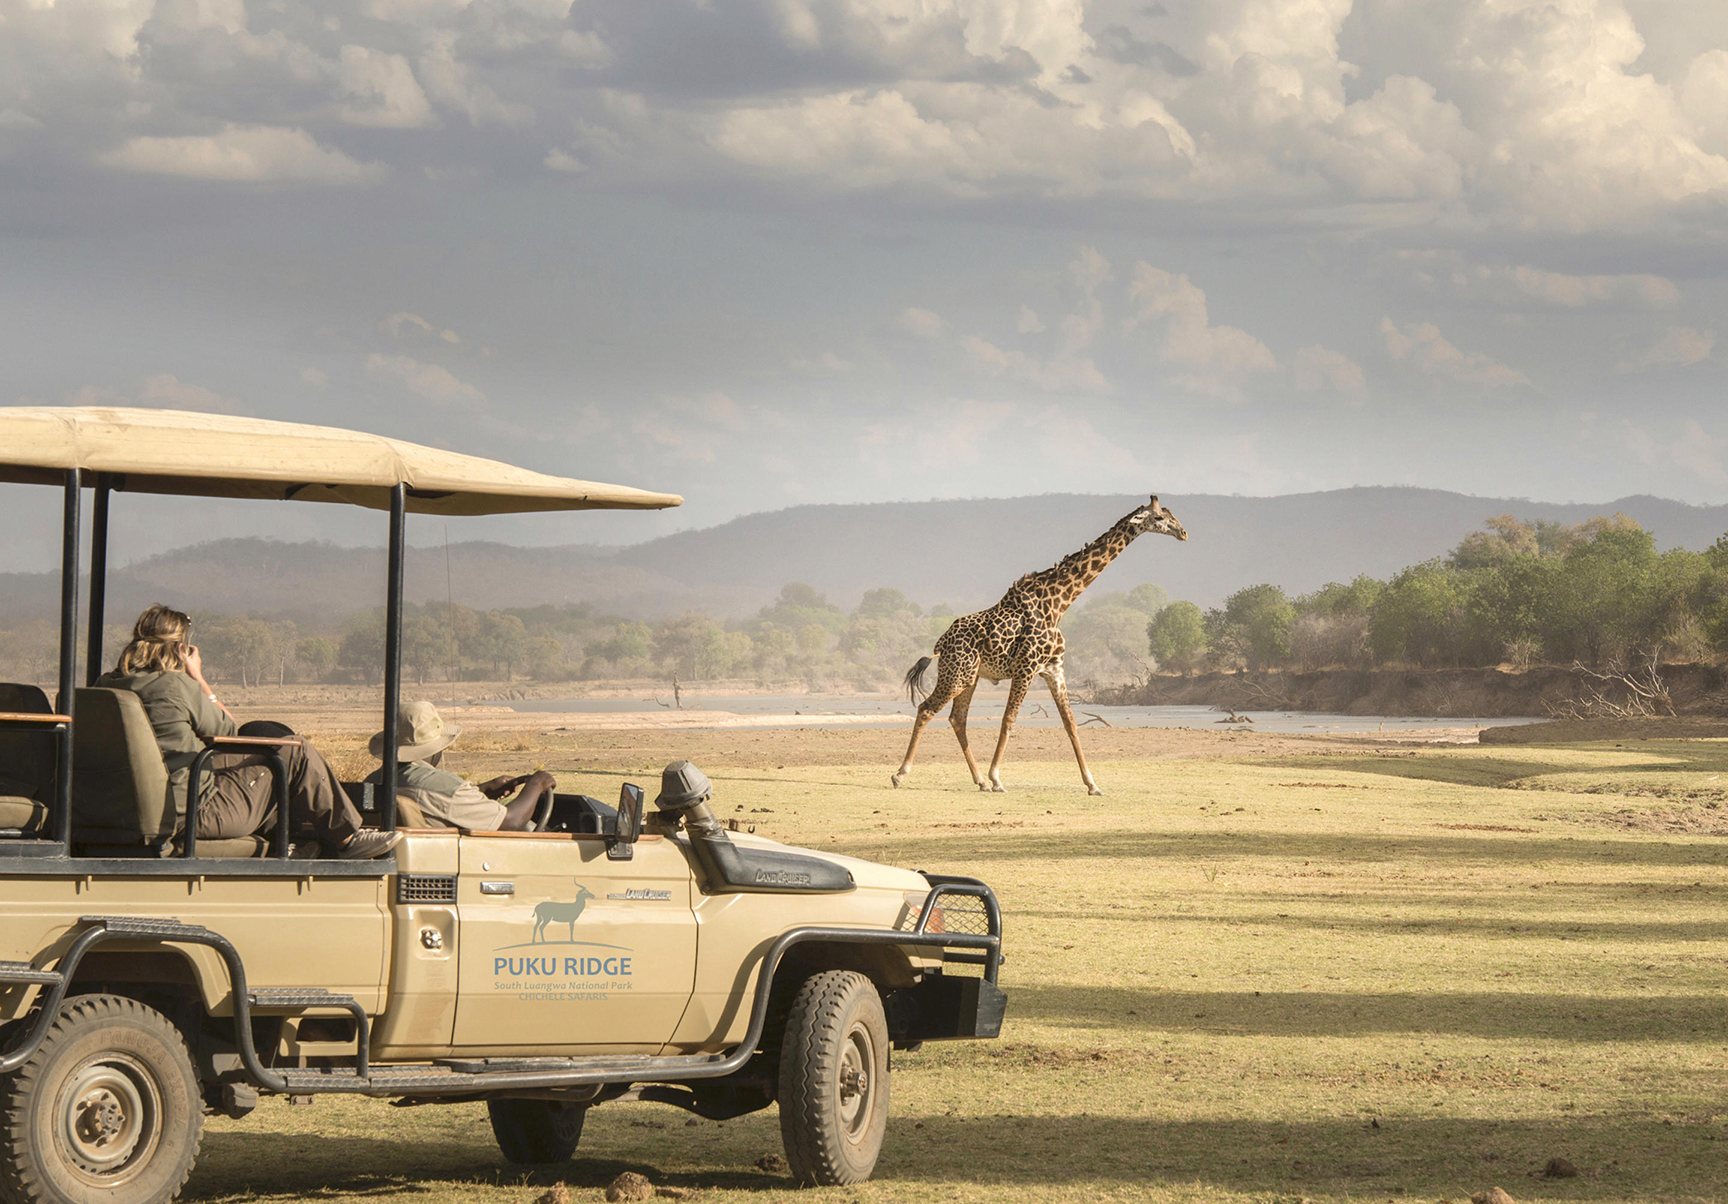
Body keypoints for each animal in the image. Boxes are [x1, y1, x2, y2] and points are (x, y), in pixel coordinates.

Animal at [891, 496, 1188, 795]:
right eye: (1159, 518)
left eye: (1171, 514)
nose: (1183, 533)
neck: (1059, 604)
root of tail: (940, 643)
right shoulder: (1026, 667)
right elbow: (1009, 719)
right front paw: (998, 778)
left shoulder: (1054, 668)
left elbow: (1070, 723)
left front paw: (1092, 784)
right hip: (956, 675)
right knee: (926, 709)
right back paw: (901, 774)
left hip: (969, 677)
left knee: (957, 718)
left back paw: (979, 781)